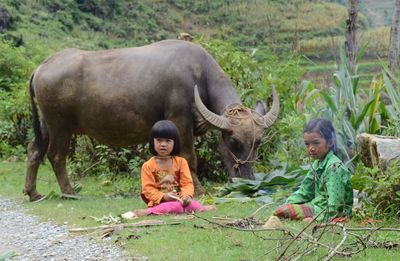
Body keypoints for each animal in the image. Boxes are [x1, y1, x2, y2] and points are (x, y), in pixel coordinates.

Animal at [23, 39, 280, 201]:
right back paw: (69, 192)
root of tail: (42, 66)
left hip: (47, 123)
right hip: (60, 125)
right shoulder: (180, 121)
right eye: (234, 142)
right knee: (56, 155)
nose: (248, 181)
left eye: (257, 143)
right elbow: (189, 158)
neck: (199, 76)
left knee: (34, 150)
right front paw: (198, 190)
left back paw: (33, 193)